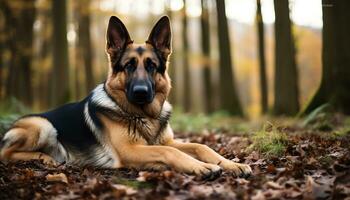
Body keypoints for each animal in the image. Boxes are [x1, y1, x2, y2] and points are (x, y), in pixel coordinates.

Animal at [0, 16, 252, 179]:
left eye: (151, 66)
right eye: (129, 66)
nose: (141, 92)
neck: (144, 115)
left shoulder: (165, 141)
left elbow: (201, 146)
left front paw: (230, 164)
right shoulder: (131, 150)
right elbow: (170, 152)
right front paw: (202, 167)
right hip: (42, 125)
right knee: (5, 153)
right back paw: (44, 158)